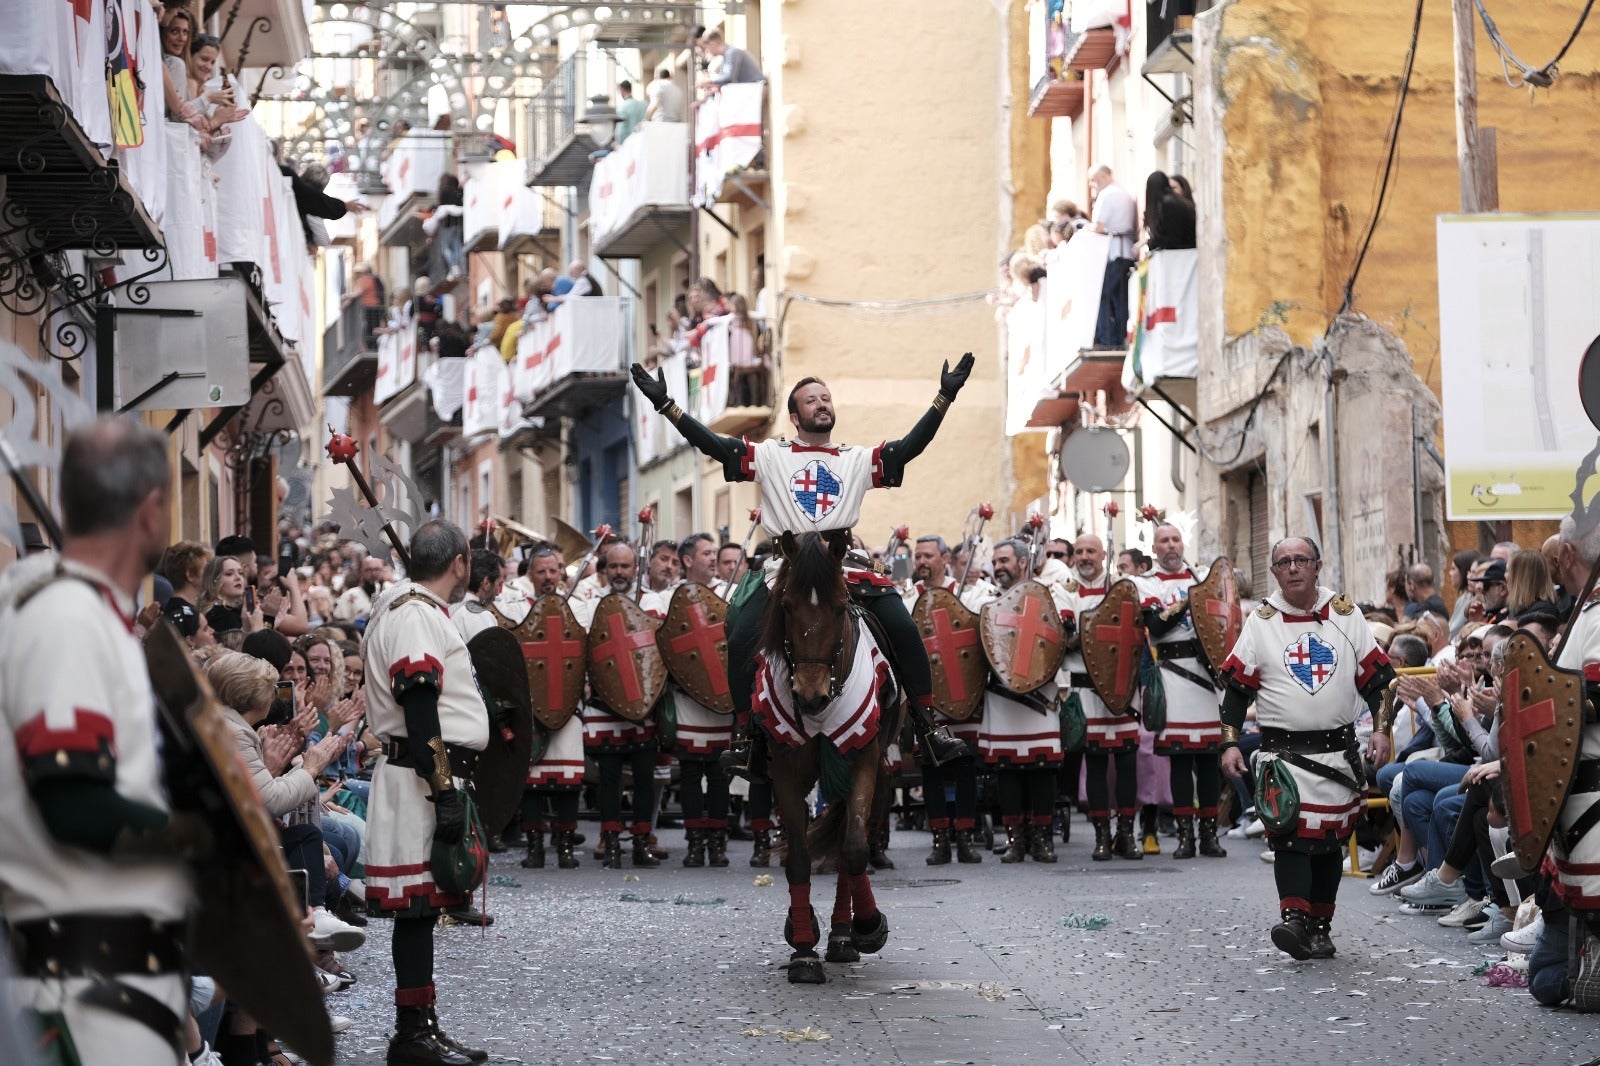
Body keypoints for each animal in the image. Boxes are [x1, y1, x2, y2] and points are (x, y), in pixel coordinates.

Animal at [752, 528, 902, 979]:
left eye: (838, 608)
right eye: (786, 605)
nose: (810, 696)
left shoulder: (862, 759)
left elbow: (853, 848)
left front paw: (867, 926)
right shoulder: (784, 771)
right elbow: (798, 858)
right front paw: (803, 947)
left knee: (844, 847)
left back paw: (842, 936)